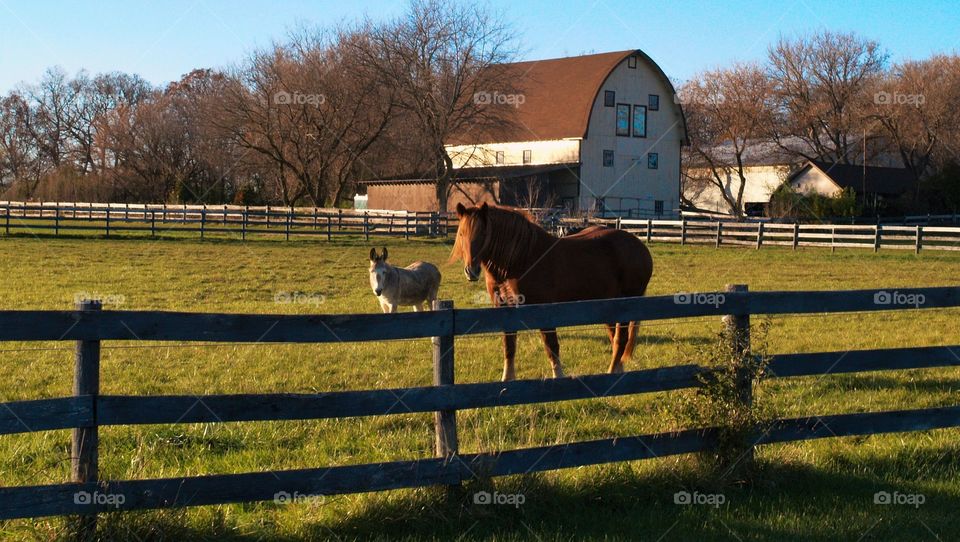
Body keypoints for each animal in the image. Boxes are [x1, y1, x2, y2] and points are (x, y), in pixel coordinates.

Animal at [451, 203, 653, 381]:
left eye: (483, 233)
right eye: (461, 233)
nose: (471, 271)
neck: (521, 259)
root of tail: (641, 248)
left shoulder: (545, 310)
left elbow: (551, 346)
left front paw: (558, 377)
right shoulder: (505, 309)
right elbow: (509, 346)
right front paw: (507, 379)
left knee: (621, 339)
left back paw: (612, 372)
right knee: (616, 338)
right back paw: (617, 370)